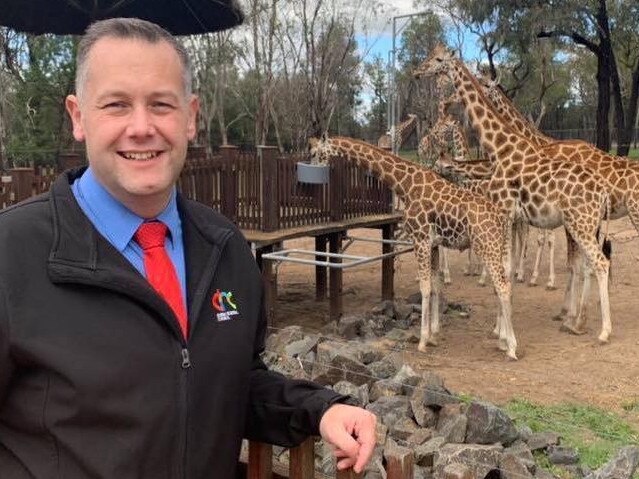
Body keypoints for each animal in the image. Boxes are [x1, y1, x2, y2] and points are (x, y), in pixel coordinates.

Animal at [310, 135, 520, 360]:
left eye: (315, 153)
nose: (313, 174)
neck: (405, 184)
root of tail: (501, 218)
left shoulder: (421, 240)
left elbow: (425, 287)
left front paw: (422, 341)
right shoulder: (434, 245)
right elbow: (436, 286)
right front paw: (434, 335)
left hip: (488, 245)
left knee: (503, 286)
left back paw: (511, 346)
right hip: (501, 247)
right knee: (504, 283)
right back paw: (501, 339)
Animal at [416, 45, 616, 344]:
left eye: (439, 60)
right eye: (430, 55)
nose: (417, 72)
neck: (499, 147)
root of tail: (602, 191)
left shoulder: (505, 211)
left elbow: (506, 267)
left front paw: (501, 332)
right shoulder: (509, 216)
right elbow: (506, 266)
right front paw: (502, 328)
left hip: (579, 224)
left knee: (599, 262)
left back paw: (601, 330)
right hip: (585, 225)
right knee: (589, 263)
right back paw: (577, 320)